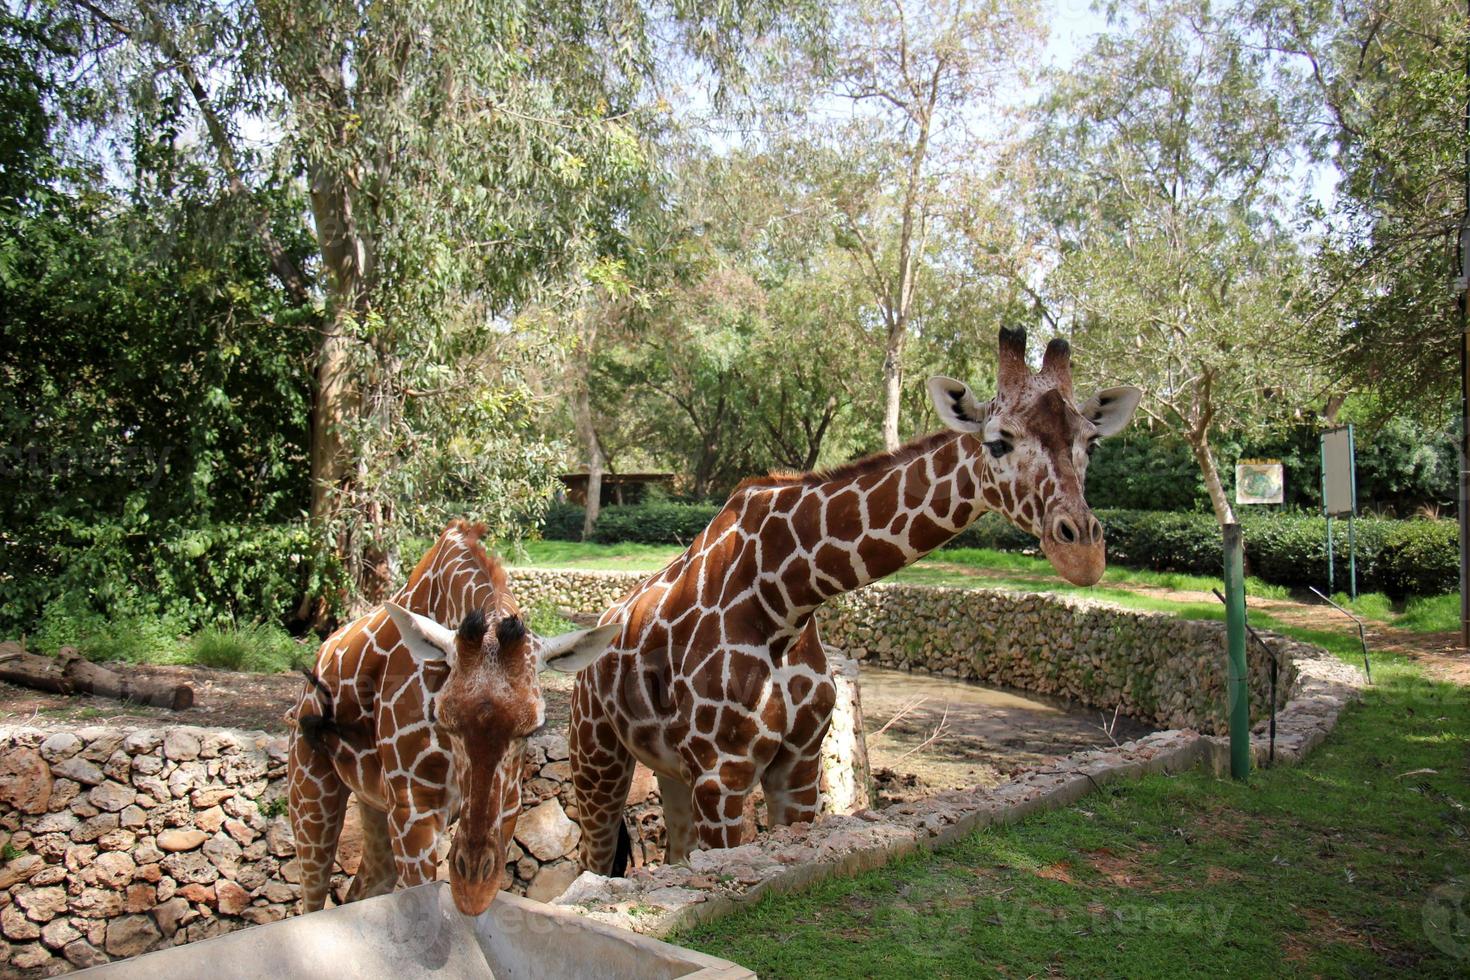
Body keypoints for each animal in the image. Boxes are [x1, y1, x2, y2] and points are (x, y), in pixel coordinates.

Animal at [286, 525, 614, 916]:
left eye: (533, 729)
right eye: (443, 720)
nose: (472, 890)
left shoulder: (510, 802)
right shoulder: (413, 806)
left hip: (372, 804)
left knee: (361, 890)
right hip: (311, 793)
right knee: (312, 899)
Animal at [567, 329, 1140, 875]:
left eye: (1091, 443)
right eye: (998, 443)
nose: (1083, 553)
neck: (786, 600)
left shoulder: (797, 766)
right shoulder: (721, 772)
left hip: (668, 769)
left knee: (673, 852)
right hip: (596, 754)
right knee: (593, 861)